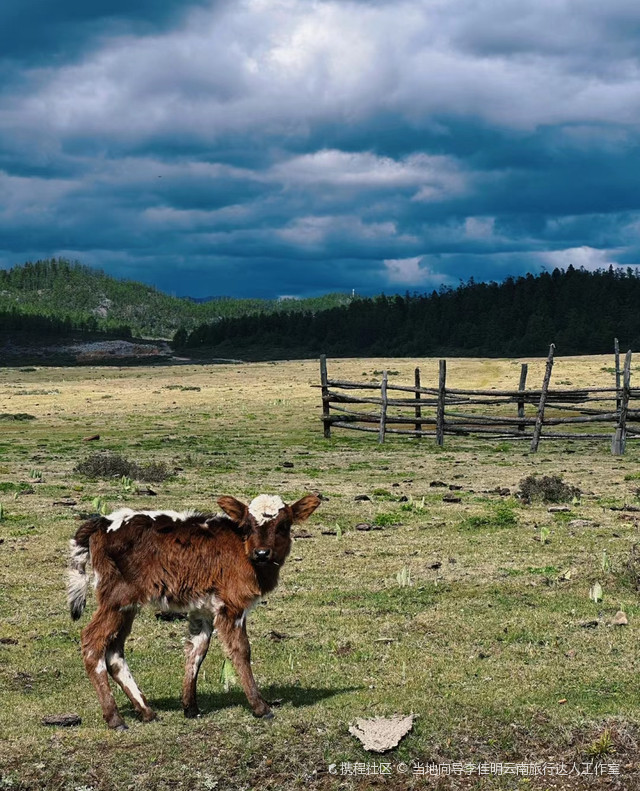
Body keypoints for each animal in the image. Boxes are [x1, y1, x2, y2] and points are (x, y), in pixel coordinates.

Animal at [66, 496, 320, 732]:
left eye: (283, 525)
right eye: (247, 526)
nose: (262, 553)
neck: (243, 550)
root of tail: (103, 522)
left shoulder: (203, 609)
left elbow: (197, 651)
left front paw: (190, 707)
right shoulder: (232, 606)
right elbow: (240, 650)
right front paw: (260, 706)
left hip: (128, 606)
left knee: (114, 651)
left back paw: (146, 711)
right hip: (116, 599)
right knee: (92, 642)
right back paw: (114, 717)